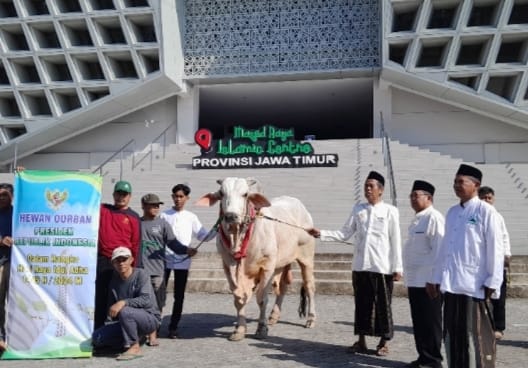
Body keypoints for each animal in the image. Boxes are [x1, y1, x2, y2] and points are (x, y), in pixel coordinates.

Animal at [196, 177, 316, 340]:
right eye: (221, 193)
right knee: (282, 287)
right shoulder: (228, 266)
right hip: (282, 262)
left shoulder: (267, 266)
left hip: (306, 258)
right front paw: (239, 329)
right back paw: (273, 316)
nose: (231, 216)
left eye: (245, 194)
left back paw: (311, 319)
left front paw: (261, 328)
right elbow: (239, 299)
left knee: (309, 286)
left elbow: (262, 298)